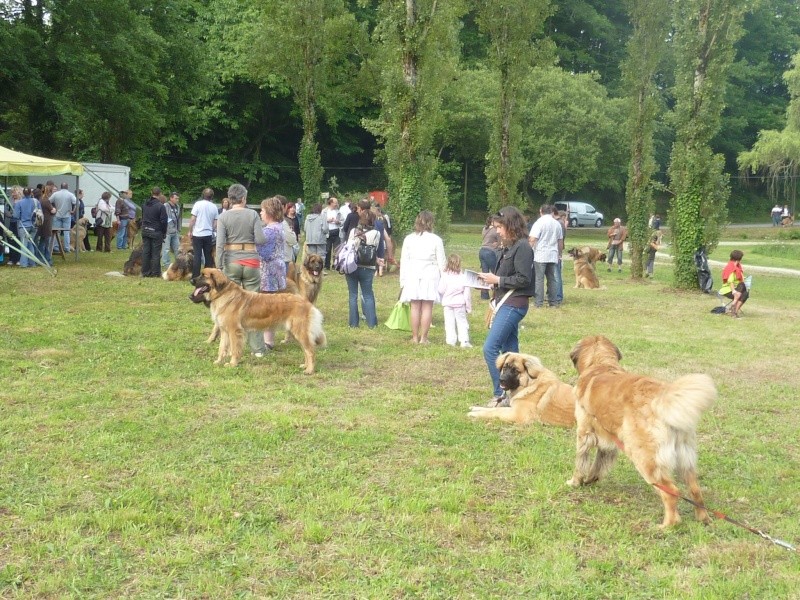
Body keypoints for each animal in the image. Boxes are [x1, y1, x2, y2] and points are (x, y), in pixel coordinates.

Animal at [191, 268, 324, 370]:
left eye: (203, 276)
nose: (191, 280)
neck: (223, 294)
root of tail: (306, 302)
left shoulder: (234, 331)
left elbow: (234, 350)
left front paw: (233, 364)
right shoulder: (224, 331)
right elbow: (221, 349)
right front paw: (219, 362)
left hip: (300, 332)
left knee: (310, 351)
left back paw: (309, 370)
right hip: (298, 333)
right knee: (306, 351)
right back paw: (305, 366)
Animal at [564, 336, 716, 528]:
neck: (601, 364)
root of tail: (661, 400)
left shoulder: (585, 434)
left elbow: (581, 463)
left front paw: (575, 482)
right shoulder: (609, 441)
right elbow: (598, 464)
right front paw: (591, 479)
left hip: (645, 459)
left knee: (671, 491)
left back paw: (667, 525)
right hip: (685, 458)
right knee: (695, 489)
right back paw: (704, 518)